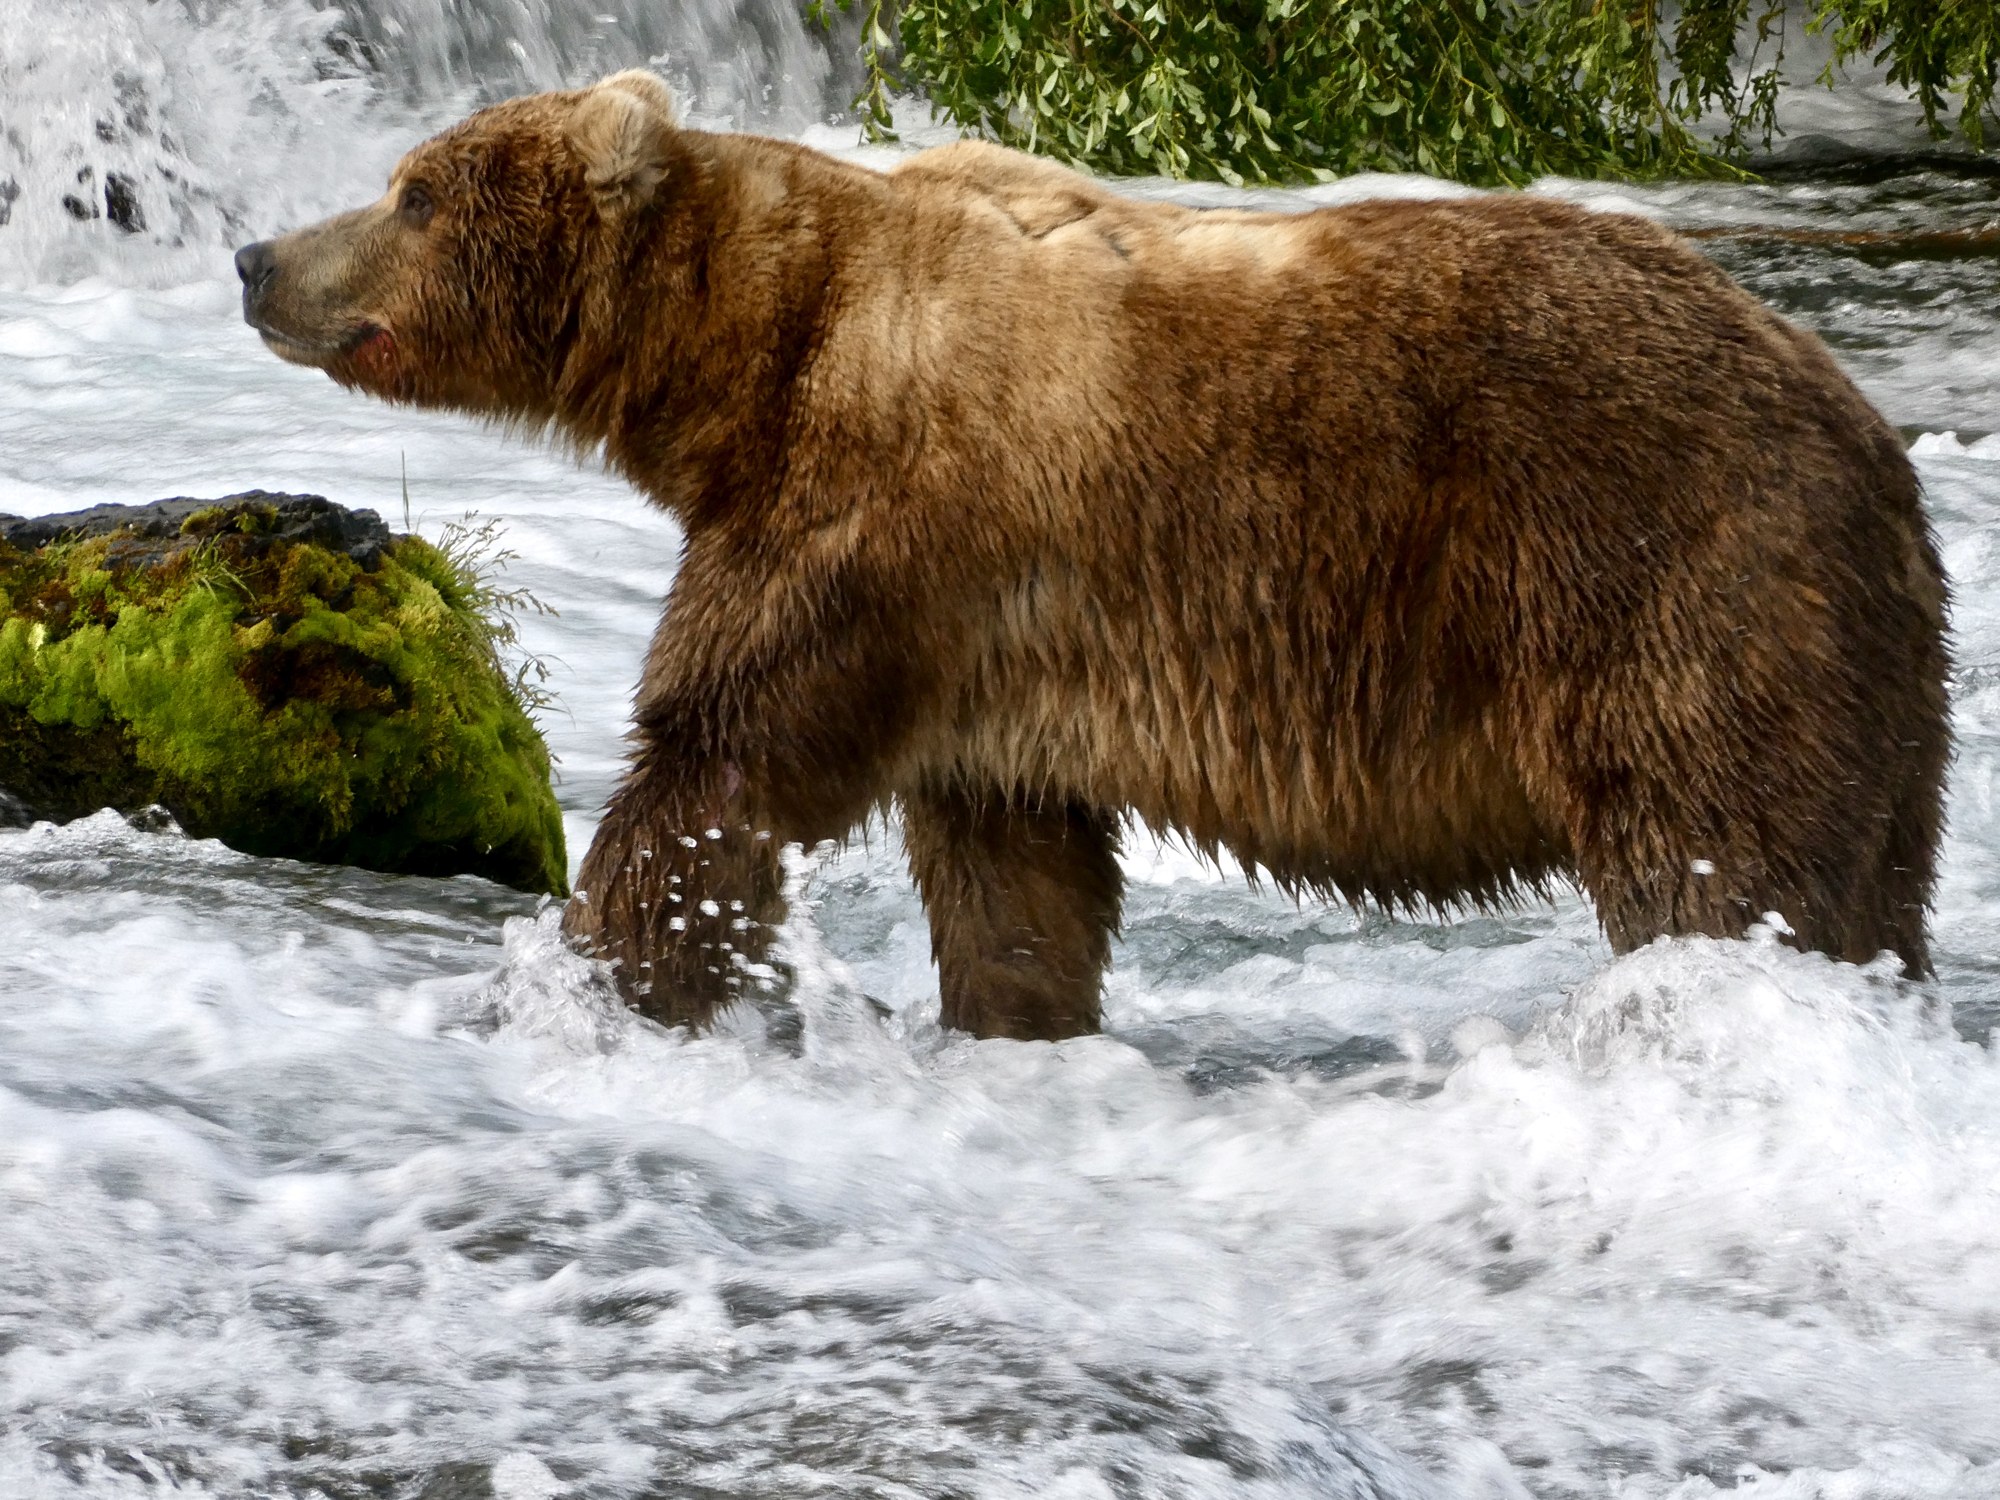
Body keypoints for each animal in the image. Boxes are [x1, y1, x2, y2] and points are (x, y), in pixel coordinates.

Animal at [236, 70, 1951, 1040]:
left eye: (412, 190)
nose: (257, 254)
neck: (756, 357)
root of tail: (1872, 439)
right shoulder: (984, 647)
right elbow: (1013, 871)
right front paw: (1016, 1020)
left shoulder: (874, 520)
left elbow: (718, 756)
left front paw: (598, 973)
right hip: (1871, 688)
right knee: (1867, 891)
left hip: (1667, 581)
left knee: (1717, 866)